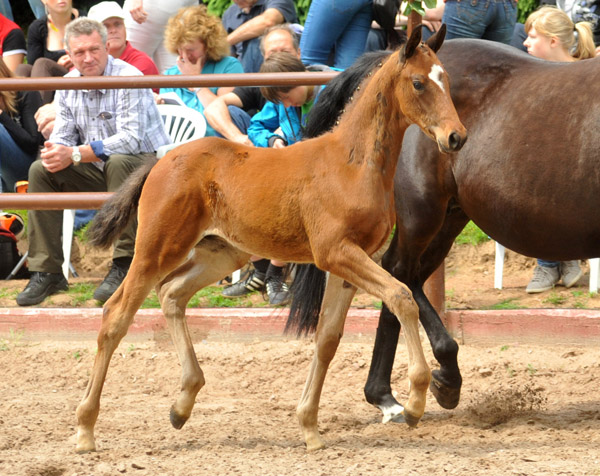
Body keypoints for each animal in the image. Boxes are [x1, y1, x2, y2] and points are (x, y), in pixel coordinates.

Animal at [75, 24, 466, 452]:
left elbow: (327, 337)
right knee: (116, 313)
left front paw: (309, 427)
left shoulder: (349, 263)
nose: (456, 137)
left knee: (172, 294)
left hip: (221, 254)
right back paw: (85, 429)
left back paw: (182, 405)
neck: (353, 163)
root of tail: (160, 160)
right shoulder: (336, 253)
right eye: (418, 83)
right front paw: (413, 402)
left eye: (446, 79)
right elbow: (402, 297)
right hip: (157, 248)